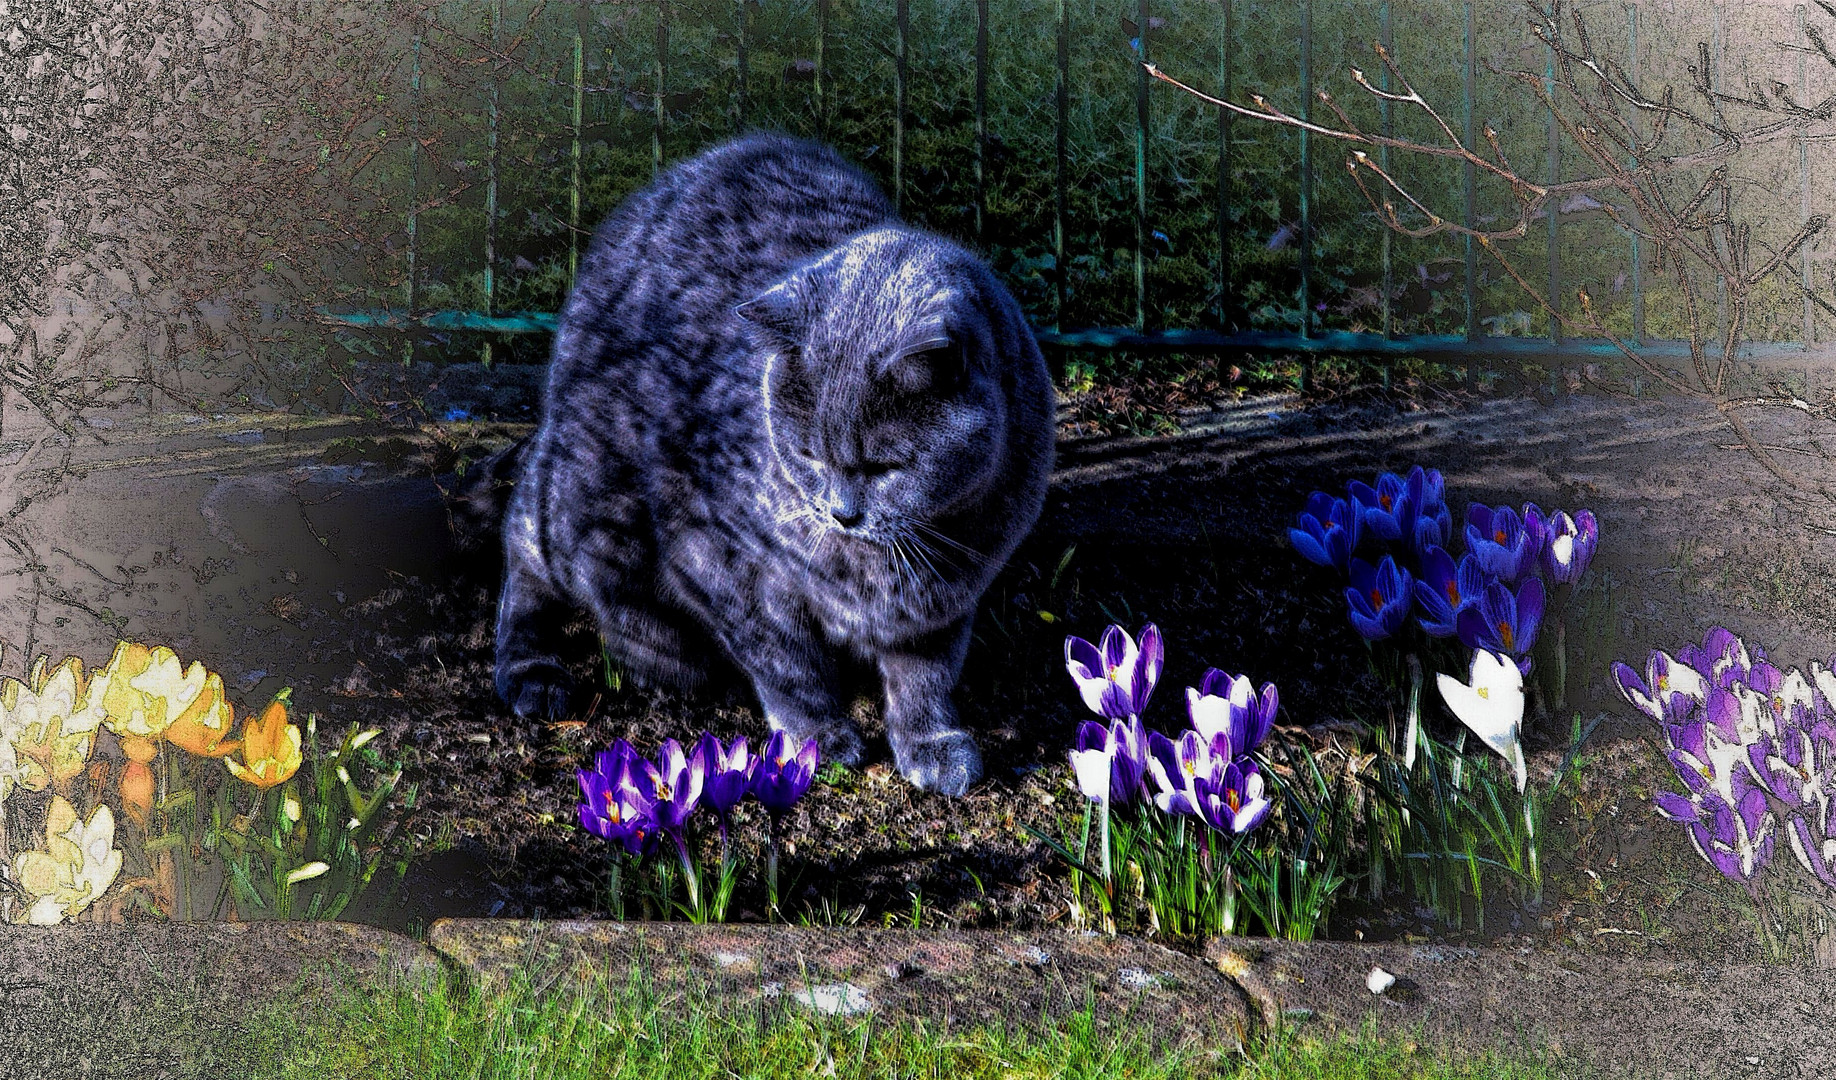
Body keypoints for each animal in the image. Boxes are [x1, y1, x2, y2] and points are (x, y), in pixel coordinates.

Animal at [495, 133, 1057, 793]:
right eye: (810, 453)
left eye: (885, 466)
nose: (841, 514)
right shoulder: (724, 560)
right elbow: (788, 664)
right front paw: (816, 738)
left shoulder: (947, 600)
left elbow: (927, 677)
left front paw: (931, 743)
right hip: (585, 495)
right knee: (530, 550)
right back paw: (555, 667)